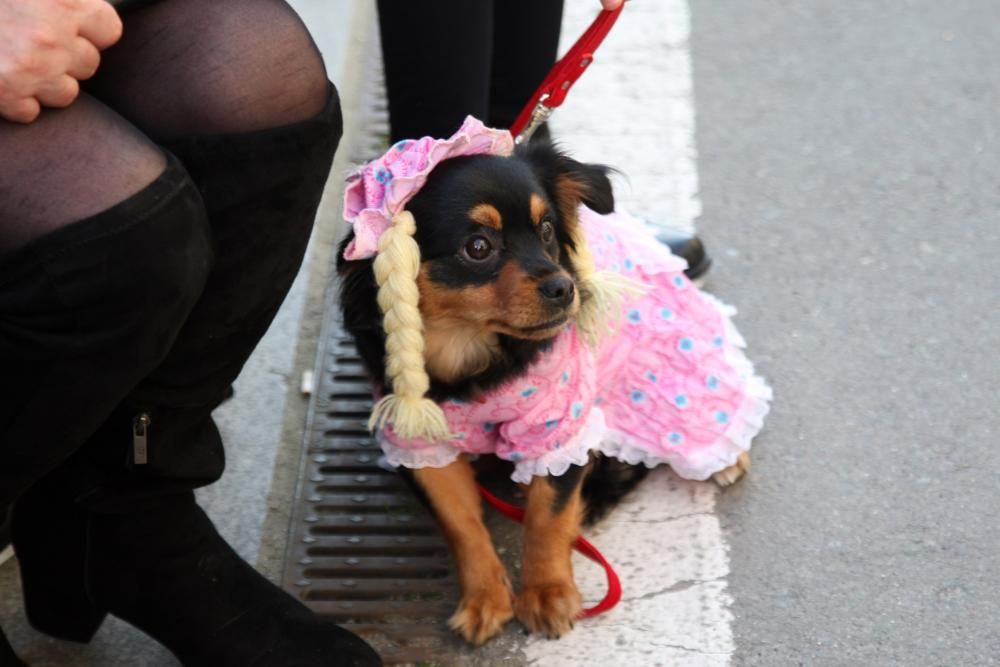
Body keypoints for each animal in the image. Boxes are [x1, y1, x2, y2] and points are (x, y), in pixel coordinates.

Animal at [338, 132, 764, 648]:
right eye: (477, 247)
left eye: (545, 230)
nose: (564, 287)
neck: (469, 351)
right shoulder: (419, 444)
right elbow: (462, 525)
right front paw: (485, 598)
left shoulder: (558, 429)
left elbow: (548, 516)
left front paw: (547, 593)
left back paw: (722, 459)